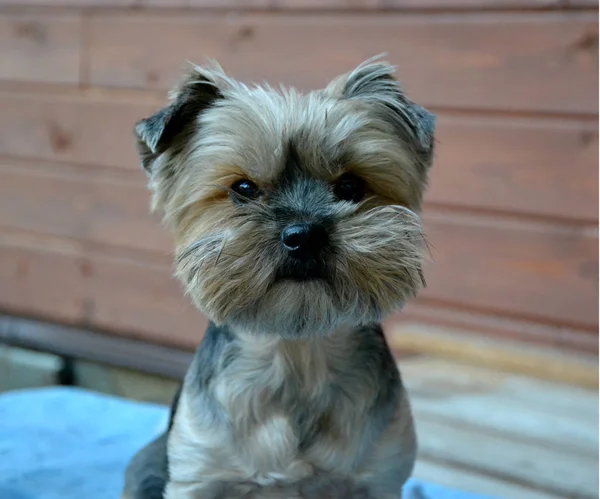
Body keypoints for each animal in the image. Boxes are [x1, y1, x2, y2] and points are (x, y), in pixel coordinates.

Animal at [123, 56, 436, 498]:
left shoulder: (379, 478)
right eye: (243, 188)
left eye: (351, 186)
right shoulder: (199, 474)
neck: (296, 354)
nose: (304, 234)